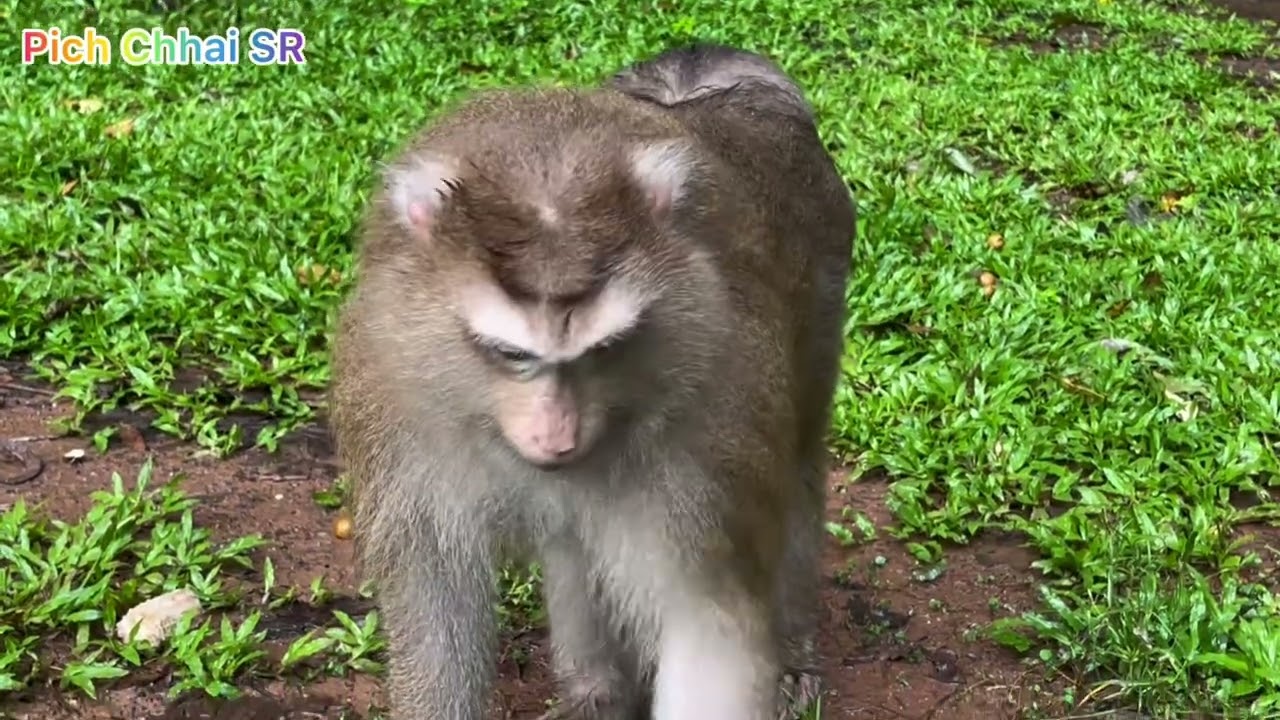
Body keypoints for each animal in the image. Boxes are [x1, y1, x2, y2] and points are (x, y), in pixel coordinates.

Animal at [327, 41, 855, 720]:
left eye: (602, 350)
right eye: (512, 353)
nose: (556, 438)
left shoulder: (712, 434)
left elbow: (709, 625)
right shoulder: (397, 407)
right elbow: (436, 596)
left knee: (798, 471)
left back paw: (791, 652)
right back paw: (596, 691)